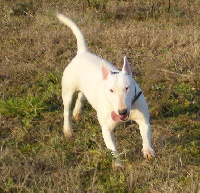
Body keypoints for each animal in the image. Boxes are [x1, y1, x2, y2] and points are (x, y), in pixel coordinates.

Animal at [57, 13, 155, 167]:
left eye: (127, 88)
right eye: (111, 90)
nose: (122, 111)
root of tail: (82, 53)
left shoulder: (143, 118)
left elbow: (145, 134)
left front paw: (148, 151)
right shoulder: (107, 128)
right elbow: (112, 148)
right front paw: (118, 164)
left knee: (81, 96)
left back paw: (77, 112)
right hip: (67, 91)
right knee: (66, 109)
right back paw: (68, 130)